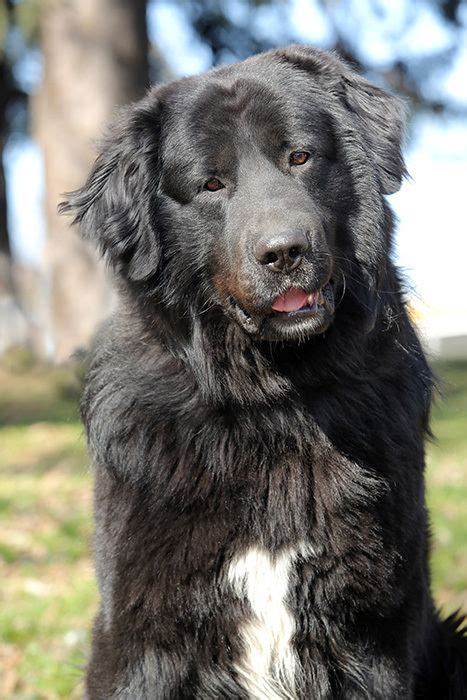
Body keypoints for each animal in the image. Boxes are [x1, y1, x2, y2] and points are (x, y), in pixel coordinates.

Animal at [61, 46, 464, 696]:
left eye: (299, 157)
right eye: (211, 183)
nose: (284, 252)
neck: (270, 403)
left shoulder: (375, 632)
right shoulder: (142, 638)